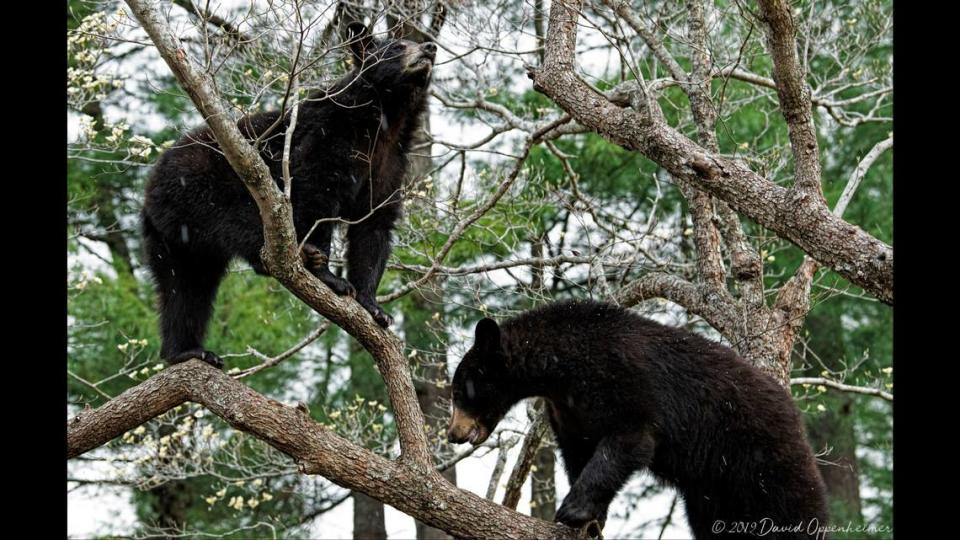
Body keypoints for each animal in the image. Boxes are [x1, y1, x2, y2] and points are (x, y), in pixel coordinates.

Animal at [142, 21, 436, 368]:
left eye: (416, 43)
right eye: (396, 47)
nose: (430, 48)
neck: (386, 118)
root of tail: (151, 183)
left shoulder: (390, 163)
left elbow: (374, 224)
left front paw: (373, 306)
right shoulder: (329, 134)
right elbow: (315, 192)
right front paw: (328, 275)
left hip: (174, 235)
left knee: (186, 284)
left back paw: (186, 351)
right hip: (201, 190)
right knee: (237, 224)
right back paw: (285, 255)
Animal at [446, 302, 828, 536]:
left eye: (459, 391)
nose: (452, 433)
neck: (562, 368)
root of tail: (796, 419)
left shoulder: (627, 381)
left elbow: (628, 440)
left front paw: (572, 509)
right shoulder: (569, 411)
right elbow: (578, 452)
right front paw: (593, 519)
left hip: (761, 459)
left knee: (792, 511)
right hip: (711, 489)